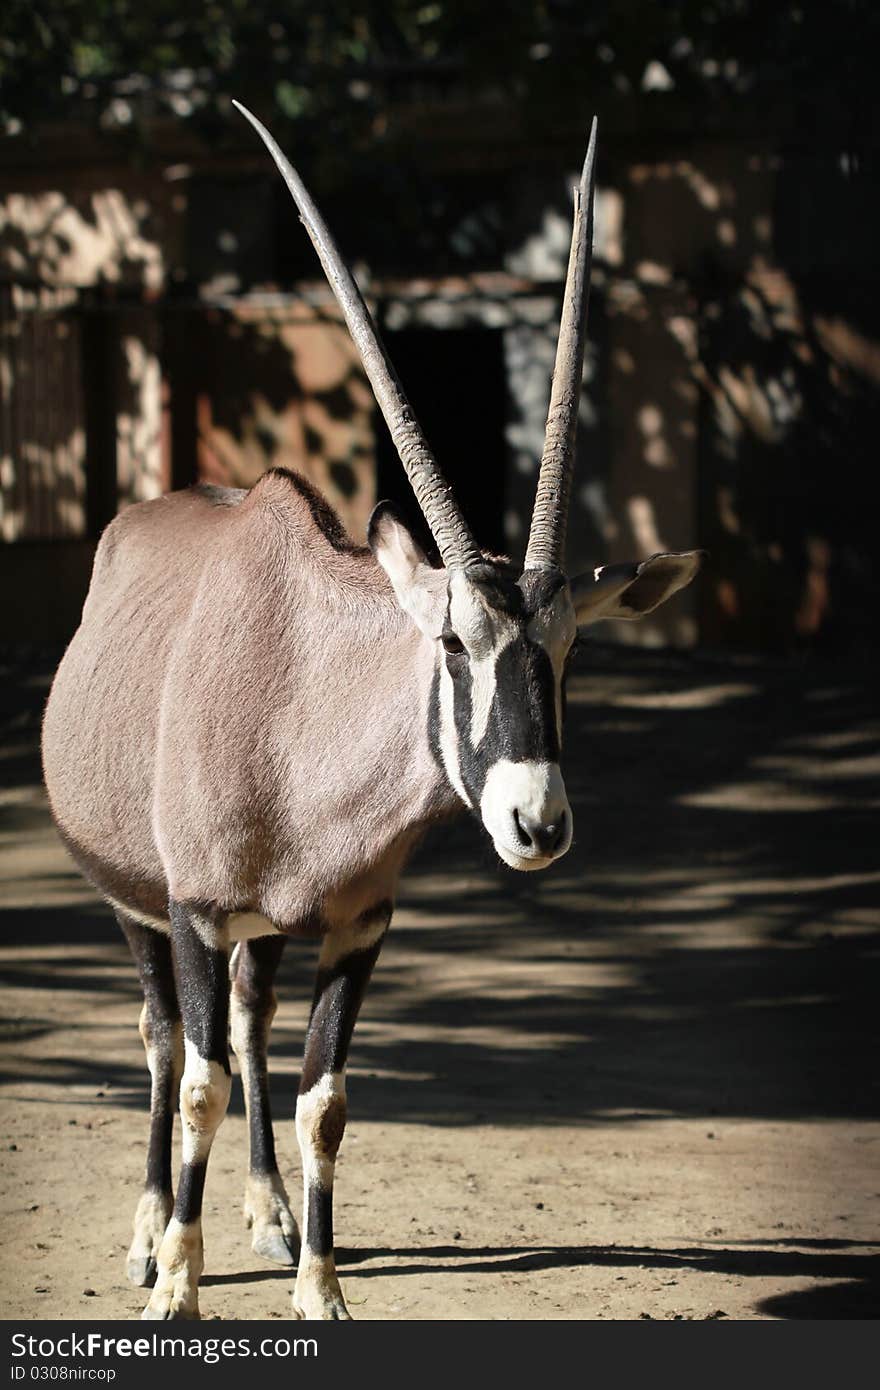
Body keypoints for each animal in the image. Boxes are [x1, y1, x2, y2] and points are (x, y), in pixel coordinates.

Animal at [39, 102, 700, 1317]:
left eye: (571, 649)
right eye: (450, 641)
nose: (537, 823)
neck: (299, 696)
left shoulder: (358, 925)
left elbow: (326, 1097)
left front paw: (321, 1287)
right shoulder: (196, 911)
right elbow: (197, 1083)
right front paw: (176, 1289)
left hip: (262, 935)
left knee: (246, 1027)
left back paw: (262, 1213)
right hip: (135, 904)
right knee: (164, 1042)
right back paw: (150, 1233)